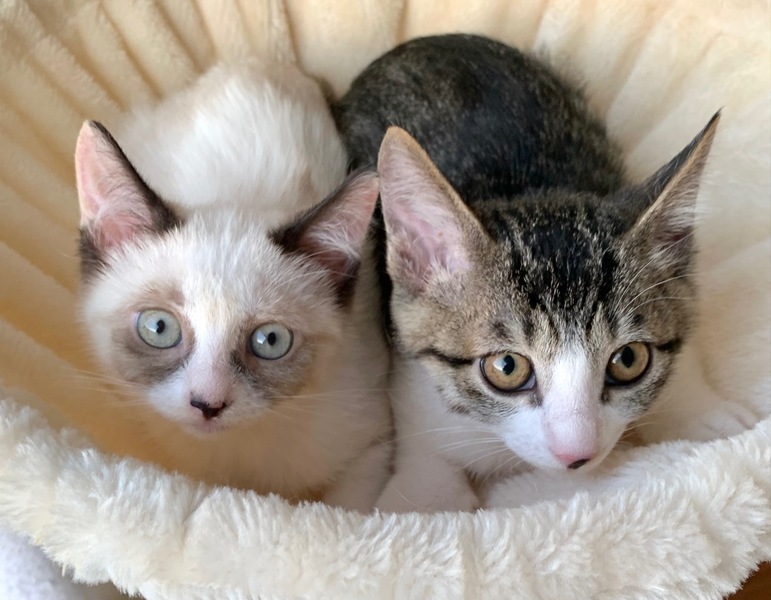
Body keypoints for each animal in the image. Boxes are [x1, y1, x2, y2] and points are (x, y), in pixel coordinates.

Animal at [74, 60, 391, 511]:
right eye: (159, 328)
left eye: (271, 340)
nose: (208, 405)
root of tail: (251, 64)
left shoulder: (371, 442)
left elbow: (345, 510)